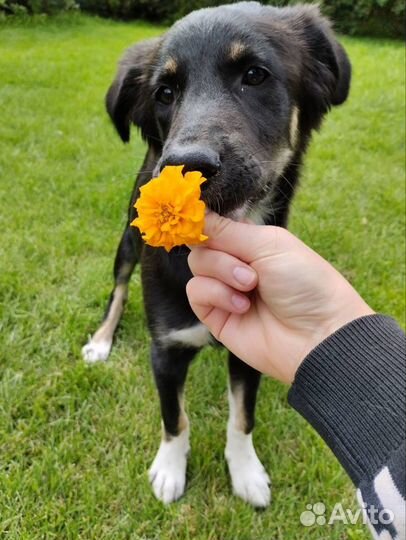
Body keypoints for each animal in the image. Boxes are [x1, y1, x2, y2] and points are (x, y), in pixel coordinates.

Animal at [81, 1, 350, 506]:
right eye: (165, 92)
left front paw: (245, 471)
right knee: (119, 290)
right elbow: (175, 418)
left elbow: (242, 417)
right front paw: (170, 469)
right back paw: (102, 340)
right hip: (127, 243)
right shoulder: (165, 350)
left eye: (255, 75)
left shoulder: (248, 354)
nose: (186, 164)